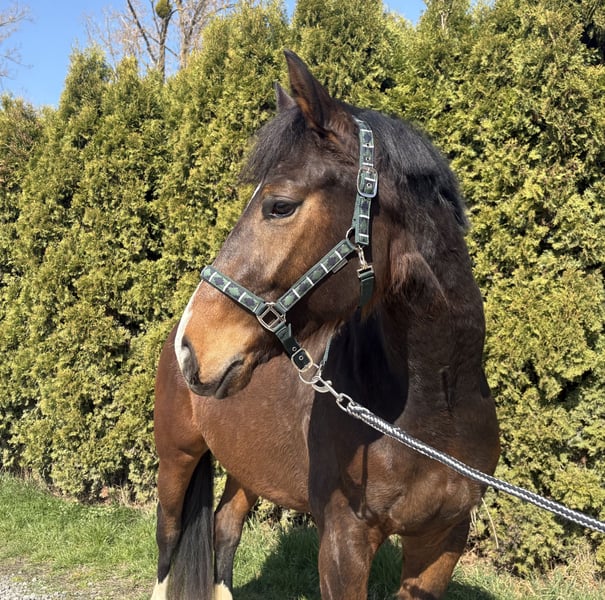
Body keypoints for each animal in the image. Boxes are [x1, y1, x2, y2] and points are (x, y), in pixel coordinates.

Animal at [152, 50, 500, 600]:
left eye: (280, 206)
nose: (194, 346)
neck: (437, 407)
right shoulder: (343, 541)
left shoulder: (442, 541)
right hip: (176, 459)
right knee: (168, 544)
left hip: (248, 469)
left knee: (225, 529)